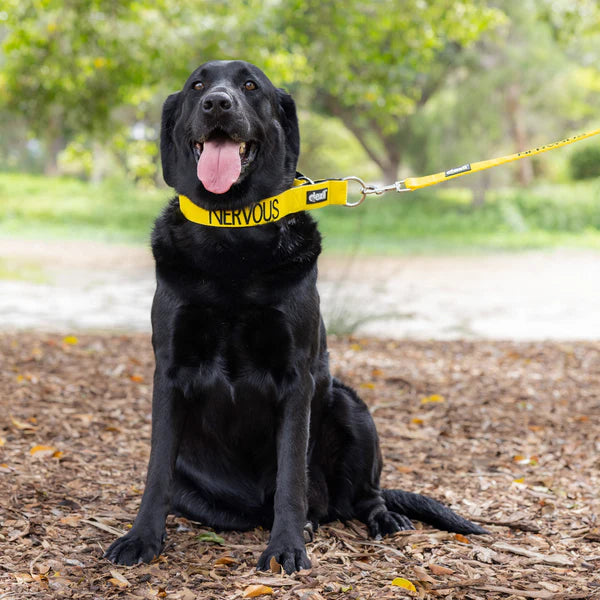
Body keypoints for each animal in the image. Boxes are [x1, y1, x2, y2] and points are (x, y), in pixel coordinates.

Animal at [104, 59, 488, 572]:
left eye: (250, 85)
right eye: (197, 85)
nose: (217, 103)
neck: (232, 234)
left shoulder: (296, 377)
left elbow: (291, 475)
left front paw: (286, 547)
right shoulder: (168, 371)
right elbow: (156, 470)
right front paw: (141, 538)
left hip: (350, 406)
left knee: (362, 496)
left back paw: (375, 518)